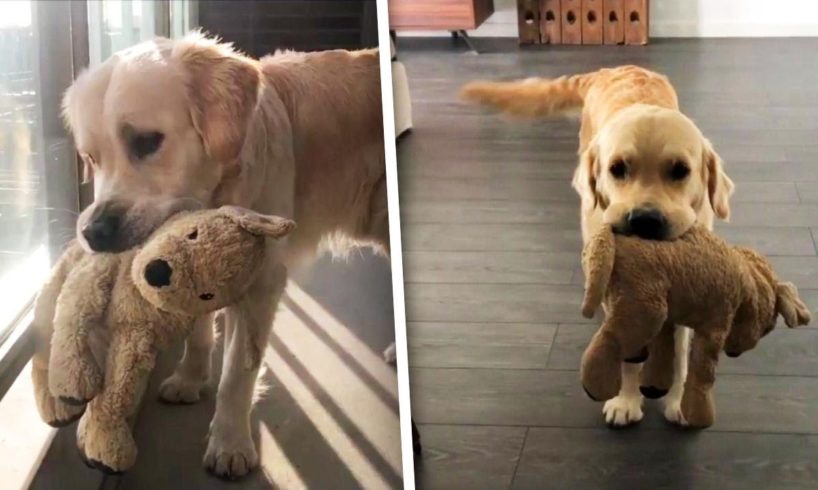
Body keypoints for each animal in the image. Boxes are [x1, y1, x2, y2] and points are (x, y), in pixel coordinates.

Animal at [62, 32, 388, 476]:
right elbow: (200, 334)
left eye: (146, 142)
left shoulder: (263, 284)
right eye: (90, 158)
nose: (94, 233)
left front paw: (230, 443)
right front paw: (190, 378)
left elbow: (237, 374)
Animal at [462, 66, 736, 428]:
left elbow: (679, 354)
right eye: (617, 168)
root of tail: (612, 69)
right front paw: (626, 400)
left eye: (680, 170)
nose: (645, 220)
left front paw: (678, 401)